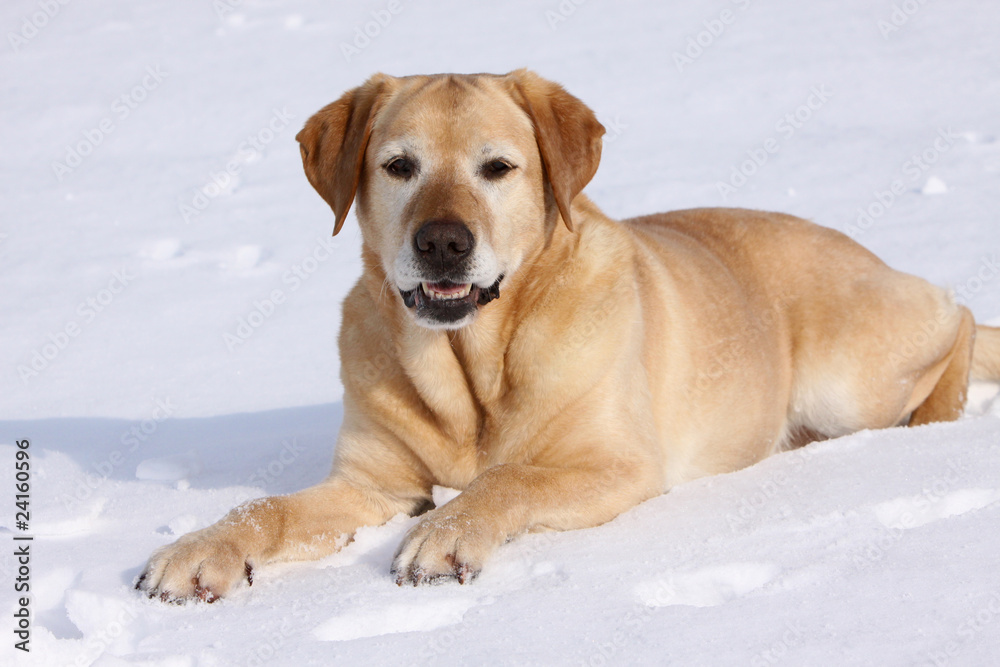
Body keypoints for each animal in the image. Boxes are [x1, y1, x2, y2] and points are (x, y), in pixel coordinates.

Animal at [139, 70, 1000, 604]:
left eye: (497, 168)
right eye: (397, 166)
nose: (442, 242)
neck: (471, 369)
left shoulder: (616, 463)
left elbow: (507, 480)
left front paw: (445, 534)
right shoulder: (372, 485)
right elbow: (266, 507)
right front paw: (197, 550)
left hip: (850, 377)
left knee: (957, 315)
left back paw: (937, 414)